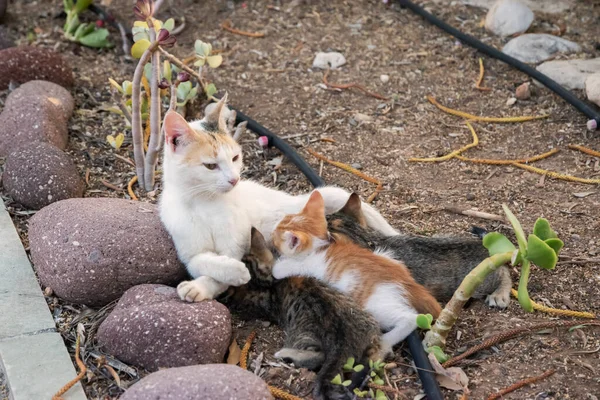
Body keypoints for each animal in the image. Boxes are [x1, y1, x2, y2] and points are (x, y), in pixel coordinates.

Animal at [220, 228, 380, 400]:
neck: (266, 284)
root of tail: (341, 340)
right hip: (367, 321)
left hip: (302, 336)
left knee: (319, 356)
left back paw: (286, 354)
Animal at [270, 191, 440, 356]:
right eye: (283, 220)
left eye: (277, 235)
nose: (272, 231)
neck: (319, 247)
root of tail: (408, 283)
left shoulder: (302, 265)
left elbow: (278, 269)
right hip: (384, 254)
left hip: (377, 305)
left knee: (411, 318)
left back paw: (385, 341)